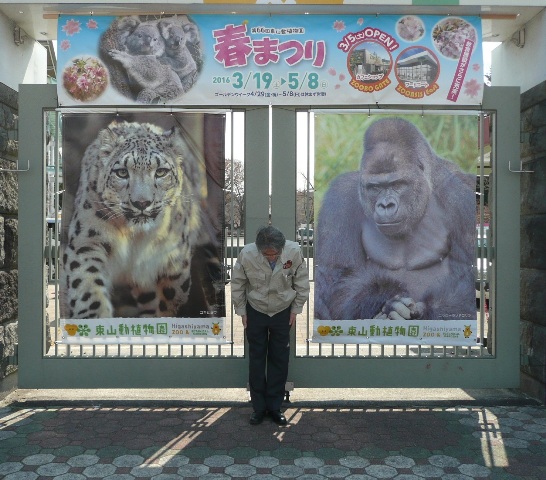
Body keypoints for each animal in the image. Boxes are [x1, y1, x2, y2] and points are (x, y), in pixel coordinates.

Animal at [312, 117, 474, 320]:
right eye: (375, 187)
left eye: (397, 185)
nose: (385, 205)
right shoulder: (340, 197)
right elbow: (335, 275)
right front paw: (383, 296)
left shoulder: (462, 196)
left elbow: (467, 279)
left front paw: (423, 312)